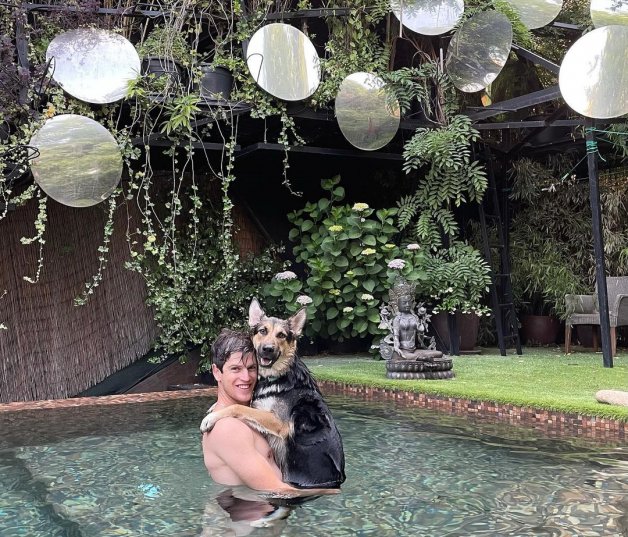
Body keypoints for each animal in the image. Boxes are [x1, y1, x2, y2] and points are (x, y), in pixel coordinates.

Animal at [201, 300, 346, 488]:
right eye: (263, 331)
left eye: (281, 335)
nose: (268, 349)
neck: (276, 376)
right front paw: (213, 408)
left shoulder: (278, 421)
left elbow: (239, 408)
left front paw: (211, 418)